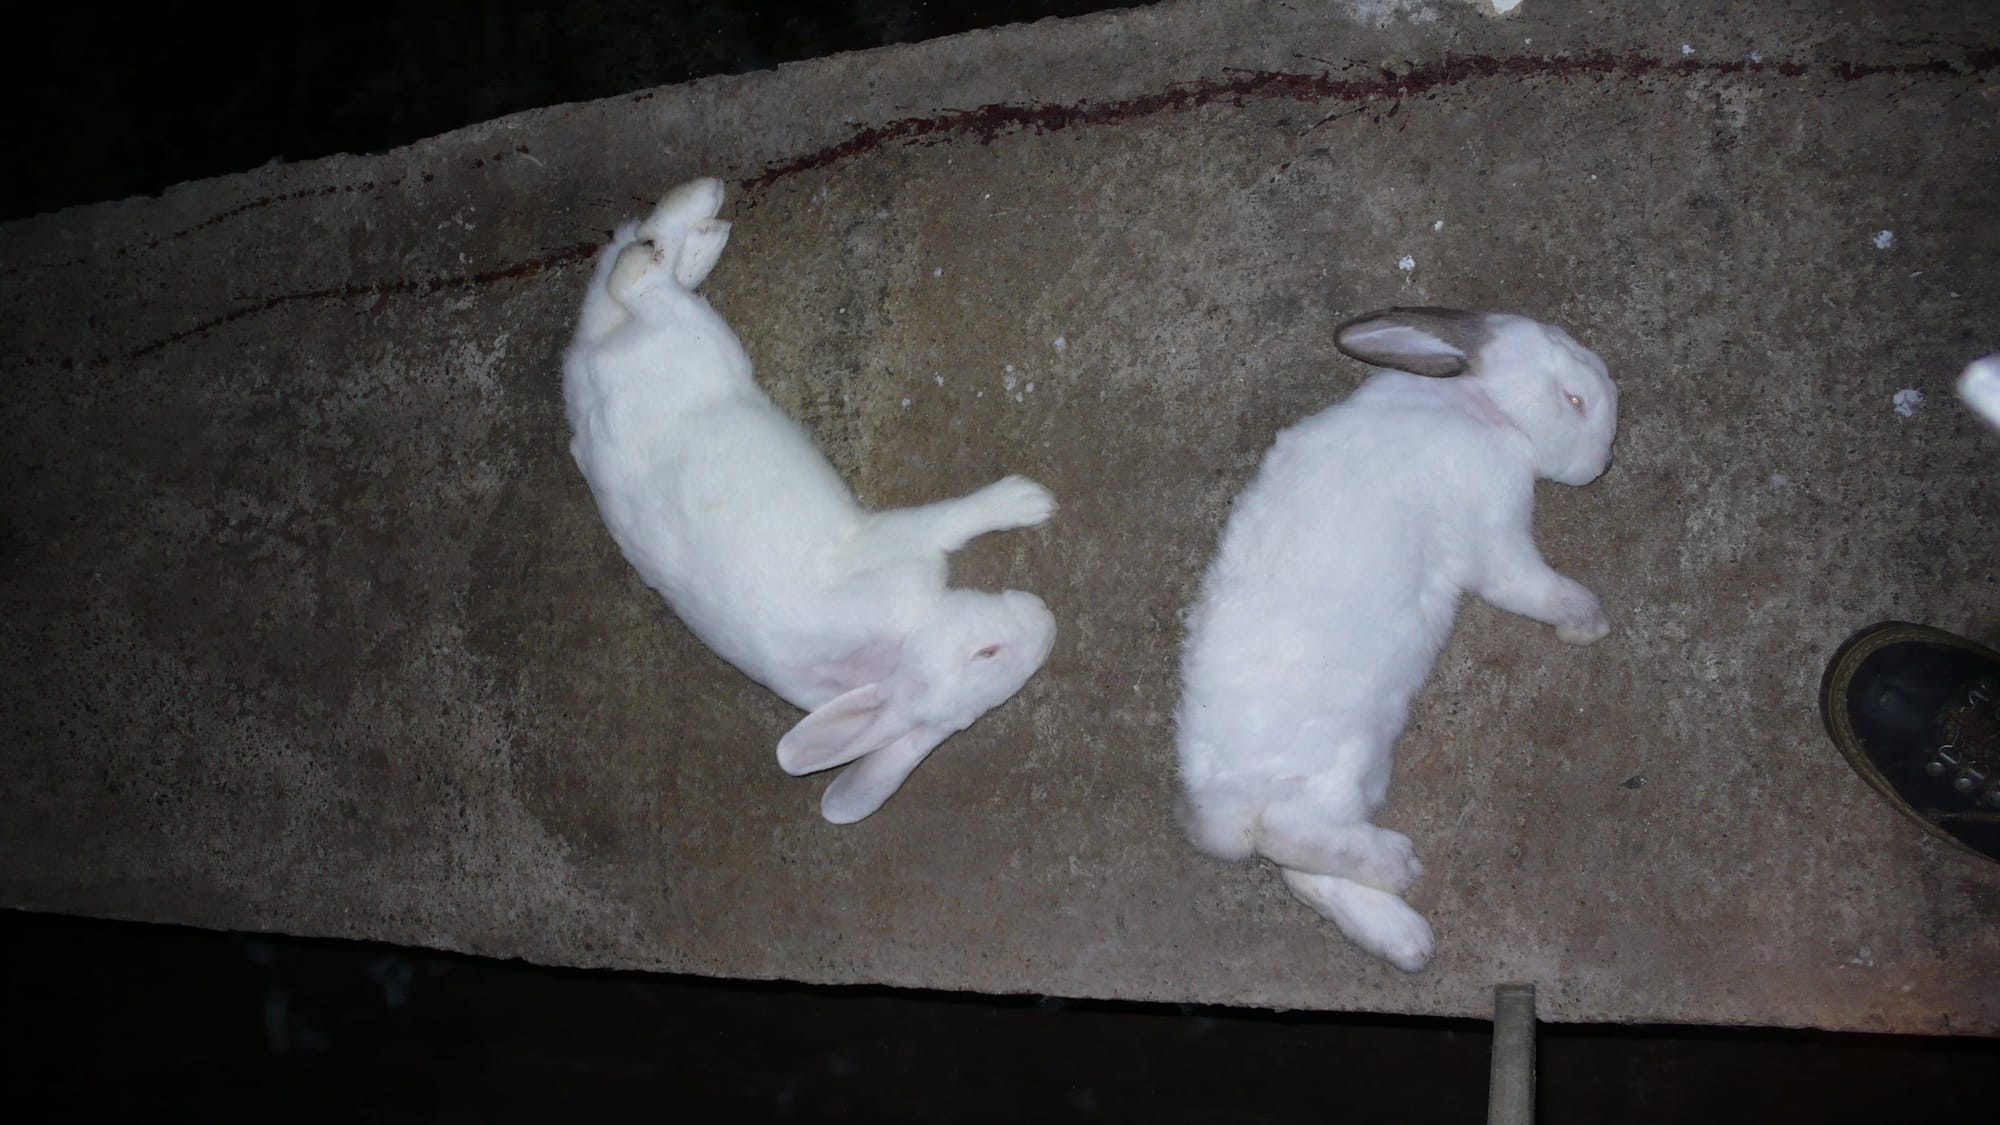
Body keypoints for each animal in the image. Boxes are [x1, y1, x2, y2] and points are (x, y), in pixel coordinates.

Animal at [563, 177, 1058, 824]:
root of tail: (588, 375)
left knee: (630, 276)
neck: (904, 638)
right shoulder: (897, 539)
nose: (1046, 621)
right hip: (698, 338)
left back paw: (704, 235)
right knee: (636, 276)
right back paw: (701, 206)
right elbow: (956, 518)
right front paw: (1030, 499)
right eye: (987, 654)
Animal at [1174, 306, 1618, 972]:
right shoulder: (1496, 532)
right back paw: (1397, 868)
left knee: (1303, 876)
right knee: (1288, 834)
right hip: (1343, 763)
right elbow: (1528, 585)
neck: (1477, 403)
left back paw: (1405, 941)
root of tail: (1222, 805)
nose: (1605, 460)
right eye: (1575, 399)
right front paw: (1586, 621)